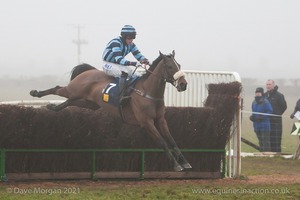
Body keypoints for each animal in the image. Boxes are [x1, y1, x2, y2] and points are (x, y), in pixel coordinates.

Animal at [29, 50, 191, 171]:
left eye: (179, 65)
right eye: (170, 67)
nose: (183, 84)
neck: (147, 92)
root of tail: (88, 71)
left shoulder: (160, 120)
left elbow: (171, 139)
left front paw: (185, 162)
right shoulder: (146, 122)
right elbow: (162, 142)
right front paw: (176, 165)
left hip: (90, 103)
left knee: (71, 101)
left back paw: (53, 107)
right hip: (73, 90)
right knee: (57, 89)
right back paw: (35, 93)